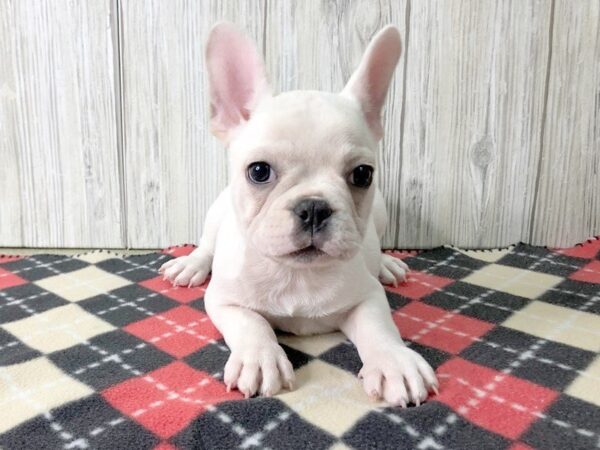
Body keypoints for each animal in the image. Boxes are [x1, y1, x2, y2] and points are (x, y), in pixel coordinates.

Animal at [162, 22, 438, 406]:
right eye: (259, 171)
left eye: (362, 175)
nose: (314, 206)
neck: (295, 273)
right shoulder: (224, 300)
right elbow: (251, 324)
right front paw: (259, 358)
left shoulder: (367, 296)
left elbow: (379, 326)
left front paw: (395, 361)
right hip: (215, 212)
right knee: (206, 244)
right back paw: (191, 264)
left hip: (381, 213)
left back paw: (386, 264)